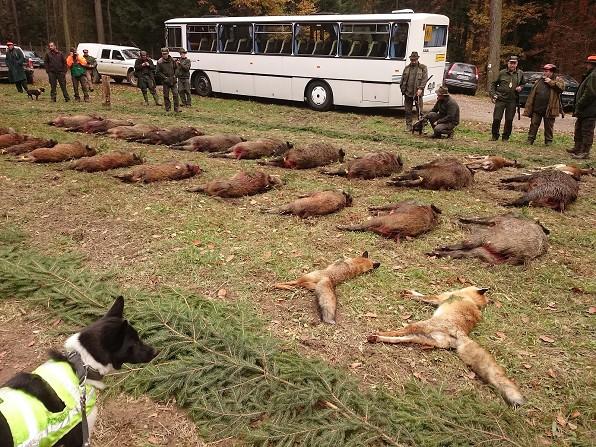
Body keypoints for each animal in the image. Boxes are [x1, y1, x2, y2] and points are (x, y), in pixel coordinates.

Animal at [366, 288, 524, 408]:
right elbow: (420, 294)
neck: (471, 300)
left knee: (400, 332)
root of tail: (460, 333)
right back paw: (377, 338)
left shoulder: (440, 298)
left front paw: (409, 294)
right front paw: (409, 291)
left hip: (419, 326)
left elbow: (424, 296)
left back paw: (379, 334)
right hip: (422, 338)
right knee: (401, 339)